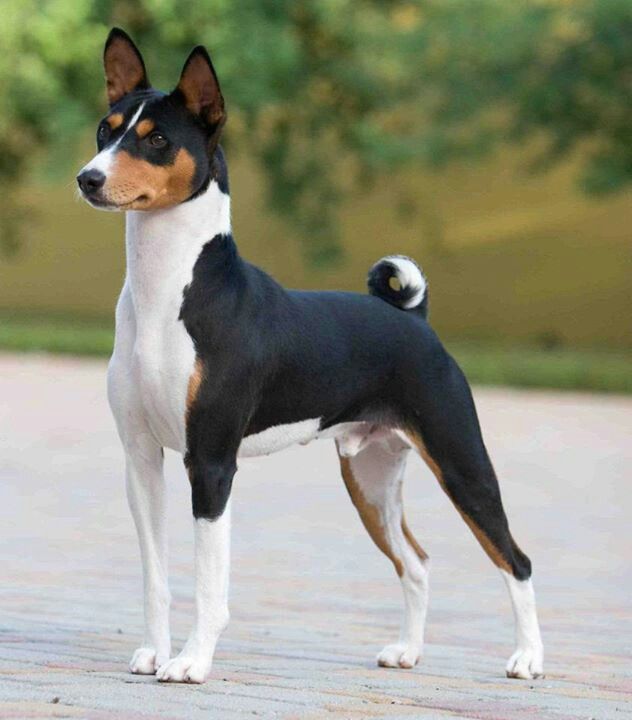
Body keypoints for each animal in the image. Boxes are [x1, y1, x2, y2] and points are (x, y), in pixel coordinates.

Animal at [78, 26, 544, 680]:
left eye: (158, 139)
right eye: (106, 129)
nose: (88, 178)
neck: (166, 293)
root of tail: (415, 320)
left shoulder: (212, 463)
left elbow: (209, 583)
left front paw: (192, 662)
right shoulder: (141, 458)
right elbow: (156, 577)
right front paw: (153, 652)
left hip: (462, 462)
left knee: (515, 559)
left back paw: (528, 658)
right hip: (369, 477)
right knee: (417, 561)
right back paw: (408, 651)